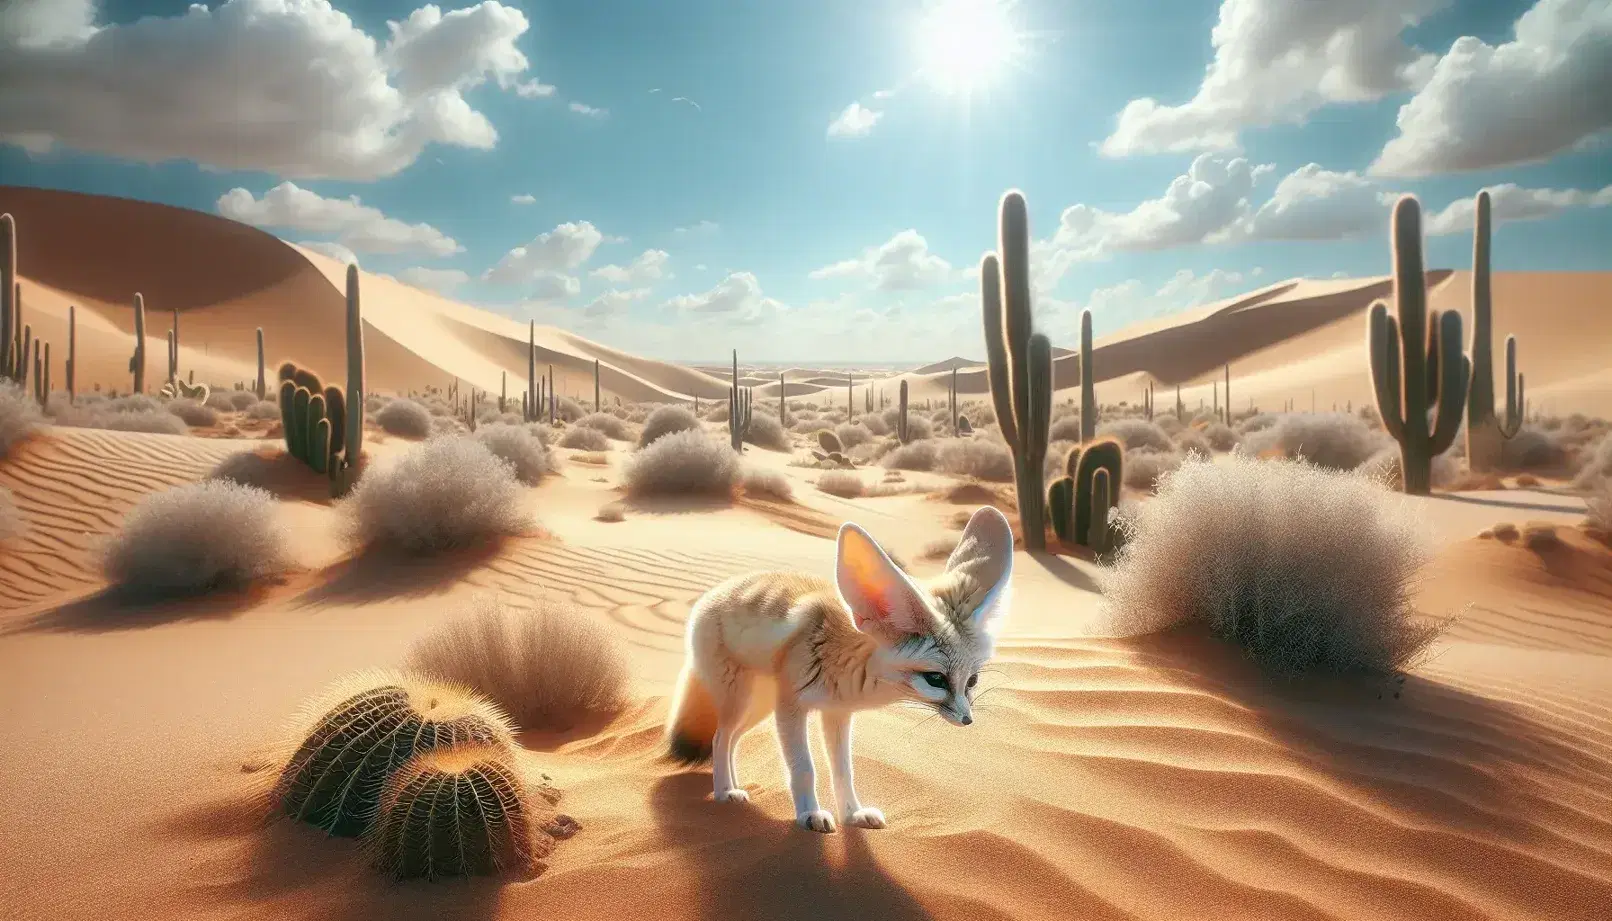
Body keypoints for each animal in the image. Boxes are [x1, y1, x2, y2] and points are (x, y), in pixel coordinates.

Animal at [660, 503, 1012, 838]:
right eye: (936, 679)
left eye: (972, 680)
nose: (967, 720)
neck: (849, 659)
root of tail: (709, 595)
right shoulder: (791, 708)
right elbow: (804, 769)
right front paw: (809, 814)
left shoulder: (838, 712)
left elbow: (843, 770)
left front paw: (853, 815)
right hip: (744, 701)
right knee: (720, 738)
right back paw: (724, 792)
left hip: (758, 707)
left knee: (730, 739)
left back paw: (734, 787)